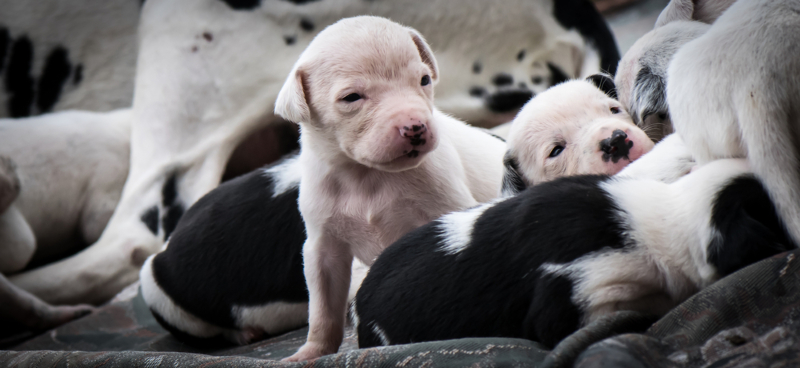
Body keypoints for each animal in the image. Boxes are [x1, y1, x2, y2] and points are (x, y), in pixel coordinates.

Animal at [272, 15, 504, 360]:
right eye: (352, 98)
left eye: (424, 80)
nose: (415, 127)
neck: (367, 176)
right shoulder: (323, 249)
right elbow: (323, 309)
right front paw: (312, 352)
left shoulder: (448, 210)